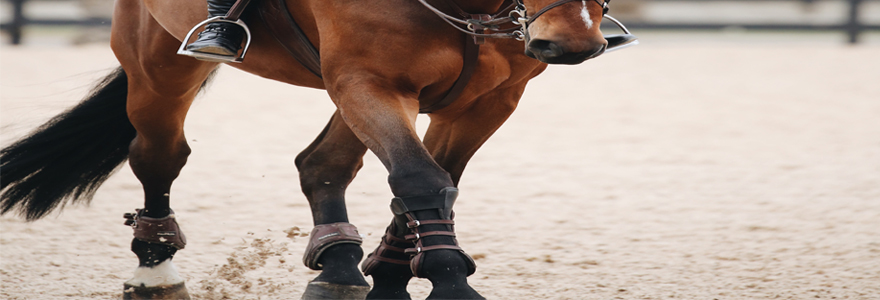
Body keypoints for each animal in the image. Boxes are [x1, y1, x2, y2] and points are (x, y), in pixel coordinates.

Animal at [0, 0, 632, 298]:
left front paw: (395, 273)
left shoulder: (487, 99)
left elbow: (434, 181)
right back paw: (156, 268)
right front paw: (450, 281)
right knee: (159, 155)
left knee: (323, 162)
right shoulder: (369, 79)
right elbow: (420, 178)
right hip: (159, 67)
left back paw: (341, 262)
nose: (574, 43)